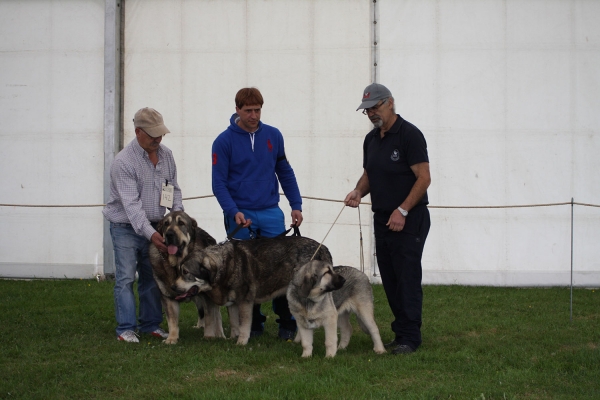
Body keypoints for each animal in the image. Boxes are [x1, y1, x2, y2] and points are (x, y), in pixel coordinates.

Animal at [173, 236, 332, 346]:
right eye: (179, 271)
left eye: (186, 272)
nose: (174, 288)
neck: (226, 266)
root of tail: (324, 247)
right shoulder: (232, 304)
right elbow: (234, 323)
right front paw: (233, 338)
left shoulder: (245, 302)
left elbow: (244, 325)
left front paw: (241, 342)